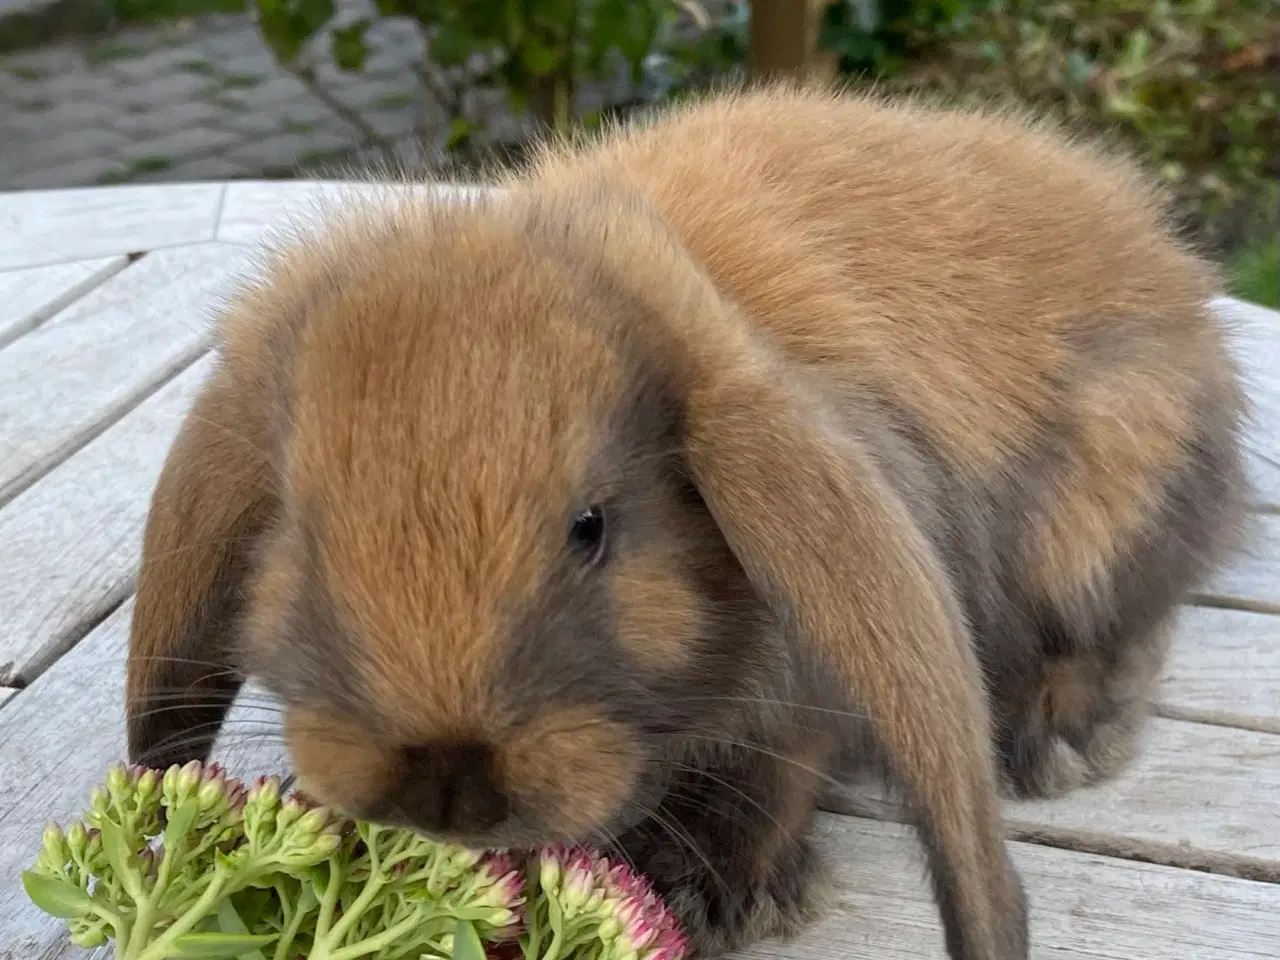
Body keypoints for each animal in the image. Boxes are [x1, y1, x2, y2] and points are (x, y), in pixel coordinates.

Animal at [122, 84, 1249, 960]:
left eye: (592, 527)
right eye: (300, 529)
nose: (447, 788)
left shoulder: (810, 664)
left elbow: (781, 765)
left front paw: (718, 894)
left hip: (1096, 507)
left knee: (1136, 614)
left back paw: (1055, 733)